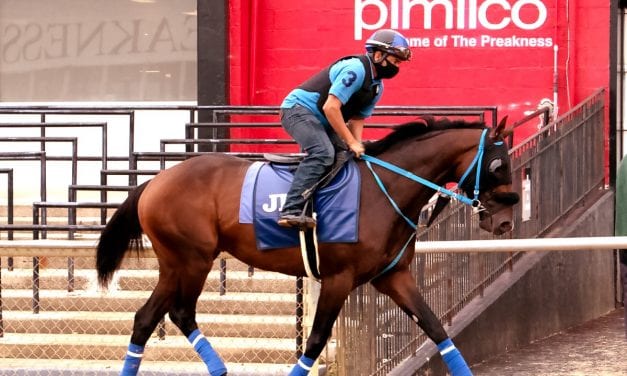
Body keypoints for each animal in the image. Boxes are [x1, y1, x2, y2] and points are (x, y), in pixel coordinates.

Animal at [97, 115, 520, 376]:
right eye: (498, 165)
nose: (504, 221)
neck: (382, 190)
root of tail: (154, 181)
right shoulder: (338, 278)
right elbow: (315, 341)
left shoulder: (393, 277)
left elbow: (436, 329)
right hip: (193, 259)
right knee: (181, 313)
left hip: (174, 264)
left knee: (145, 319)